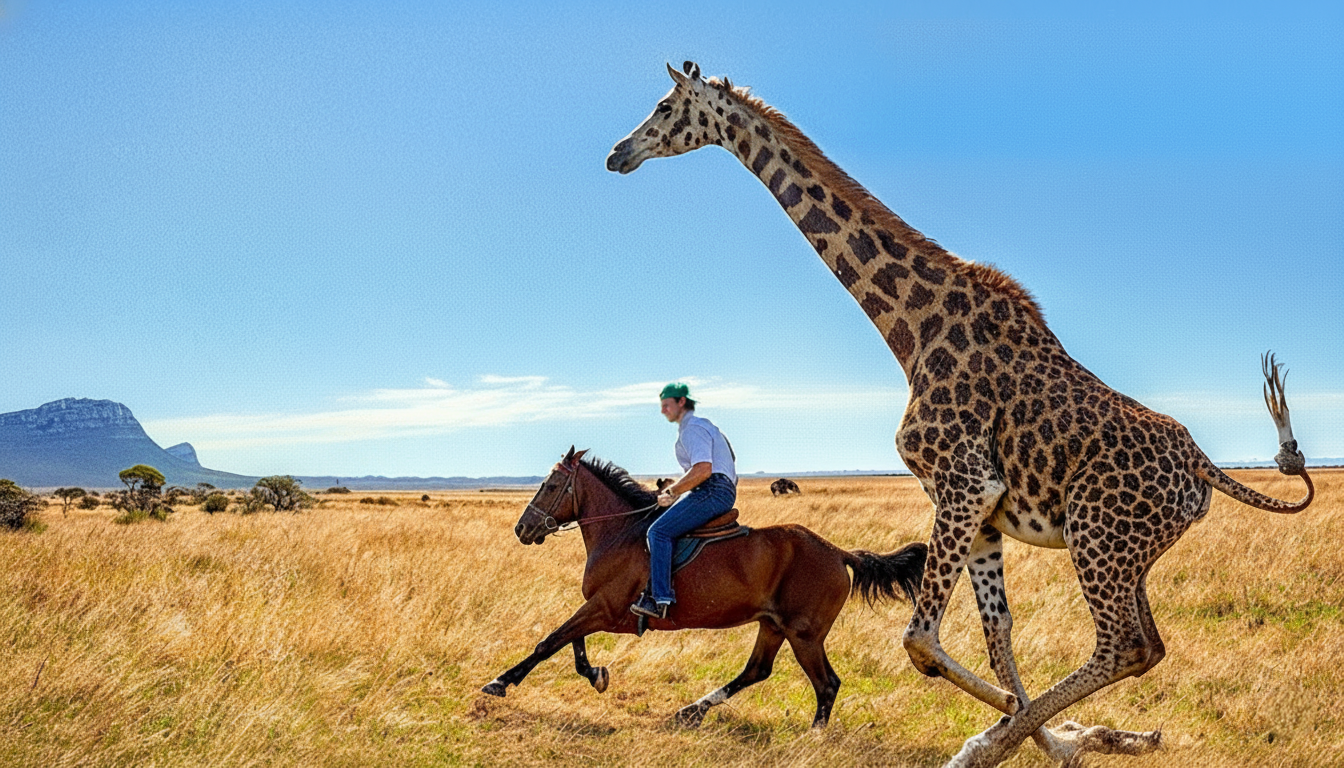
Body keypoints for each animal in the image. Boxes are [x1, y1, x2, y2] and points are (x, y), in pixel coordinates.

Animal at [481, 447, 927, 727]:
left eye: (551, 486)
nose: (523, 528)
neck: (620, 532)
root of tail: (837, 552)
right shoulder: (599, 609)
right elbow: (572, 645)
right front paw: (597, 675)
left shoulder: (604, 609)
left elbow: (549, 642)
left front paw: (500, 682)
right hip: (773, 626)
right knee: (756, 671)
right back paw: (692, 711)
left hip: (804, 635)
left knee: (826, 684)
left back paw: (813, 736)